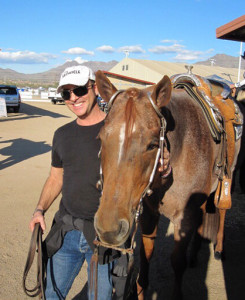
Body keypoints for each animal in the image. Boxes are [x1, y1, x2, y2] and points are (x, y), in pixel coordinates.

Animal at [93, 71, 241, 300]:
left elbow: (177, 262)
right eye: (101, 138)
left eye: (153, 144)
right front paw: (141, 289)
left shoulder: (184, 219)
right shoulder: (148, 213)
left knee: (222, 211)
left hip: (228, 178)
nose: (109, 228)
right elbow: (146, 254)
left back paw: (219, 248)